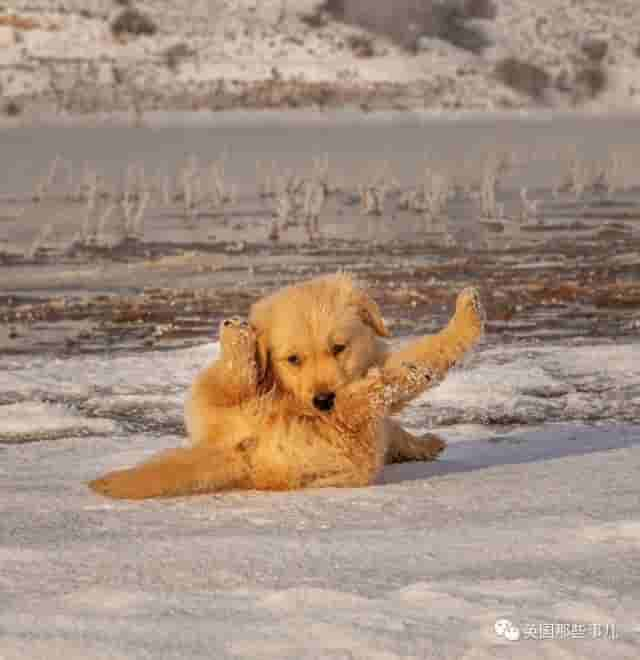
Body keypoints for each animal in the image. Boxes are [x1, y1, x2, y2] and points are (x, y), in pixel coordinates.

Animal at [87, 274, 482, 500]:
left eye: (338, 348)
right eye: (293, 359)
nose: (322, 399)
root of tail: (239, 444)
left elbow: (397, 428)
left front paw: (425, 443)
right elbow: (425, 356)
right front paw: (466, 316)